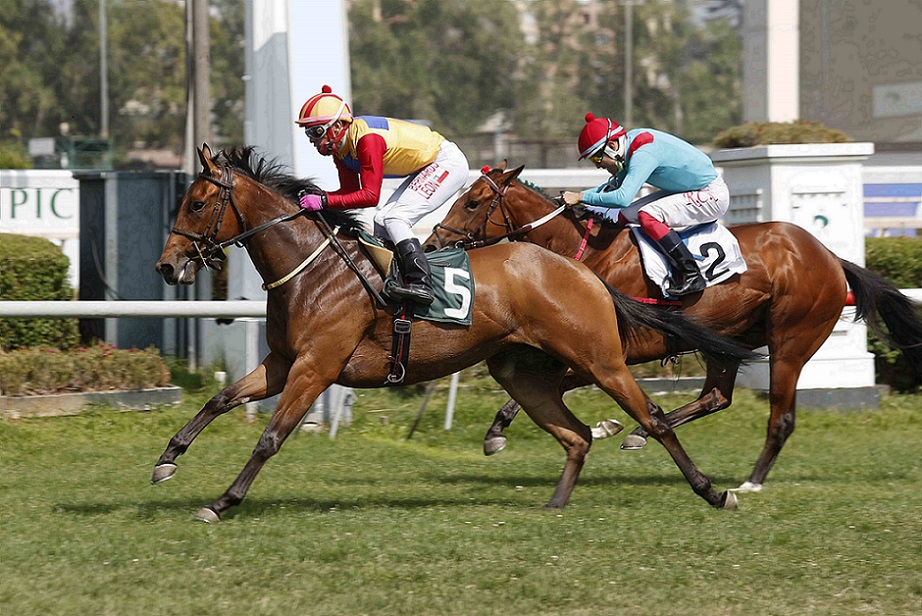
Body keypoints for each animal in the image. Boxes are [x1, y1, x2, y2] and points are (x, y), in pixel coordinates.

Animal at [152, 145, 760, 521]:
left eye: (198, 203)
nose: (167, 266)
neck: (314, 270)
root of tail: (584, 272)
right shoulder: (282, 363)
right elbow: (220, 399)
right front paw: (168, 459)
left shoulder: (315, 367)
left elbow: (270, 437)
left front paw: (223, 501)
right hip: (520, 371)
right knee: (575, 436)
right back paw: (555, 504)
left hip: (601, 362)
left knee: (652, 418)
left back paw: (715, 493)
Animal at [425, 162, 922, 493]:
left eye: (471, 201)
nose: (431, 244)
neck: (583, 253)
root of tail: (829, 256)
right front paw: (511, 431)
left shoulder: (612, 349)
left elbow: (555, 384)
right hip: (730, 341)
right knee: (716, 397)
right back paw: (642, 436)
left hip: (791, 342)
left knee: (780, 417)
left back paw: (750, 483)